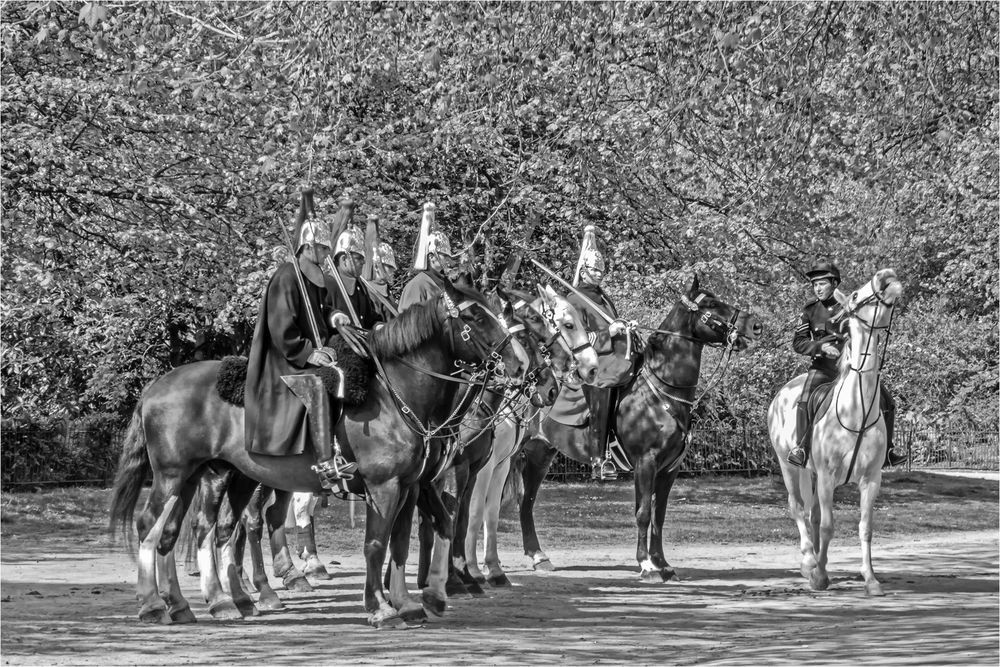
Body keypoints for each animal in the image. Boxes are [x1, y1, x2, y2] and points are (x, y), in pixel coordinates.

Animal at [107, 278, 532, 632]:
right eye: (474, 316)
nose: (521, 365)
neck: (397, 393)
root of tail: (156, 385)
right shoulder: (384, 486)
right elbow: (376, 543)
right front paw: (382, 608)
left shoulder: (411, 486)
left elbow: (405, 540)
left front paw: (412, 602)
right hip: (175, 475)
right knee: (154, 525)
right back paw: (157, 604)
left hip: (205, 475)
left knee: (188, 530)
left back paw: (200, 603)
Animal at [516, 276, 756, 580]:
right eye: (712, 304)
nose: (755, 325)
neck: (662, 390)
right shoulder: (646, 462)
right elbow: (643, 512)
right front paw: (646, 564)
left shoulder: (669, 469)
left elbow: (658, 515)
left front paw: (663, 563)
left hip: (540, 454)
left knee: (527, 501)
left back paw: (538, 556)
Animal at [768, 268, 904, 596]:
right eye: (855, 295)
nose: (886, 275)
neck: (855, 410)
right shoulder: (829, 477)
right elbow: (829, 525)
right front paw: (818, 576)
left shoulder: (871, 479)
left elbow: (865, 528)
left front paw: (870, 579)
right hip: (789, 467)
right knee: (799, 509)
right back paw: (809, 562)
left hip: (813, 474)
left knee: (813, 514)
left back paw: (819, 561)